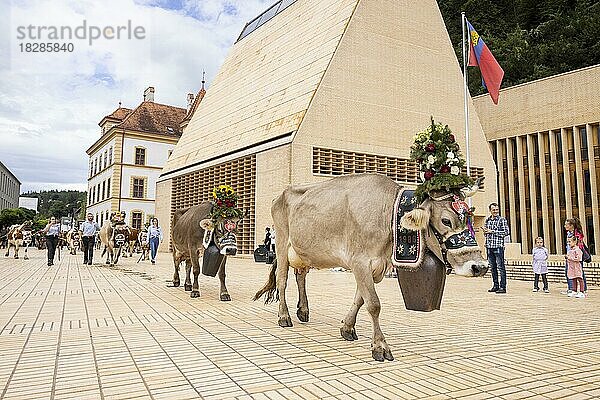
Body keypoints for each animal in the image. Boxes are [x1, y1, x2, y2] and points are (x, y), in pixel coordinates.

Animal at [253, 118, 488, 362]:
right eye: (446, 221)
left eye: (469, 216)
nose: (480, 266)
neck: (387, 215)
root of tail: (281, 193)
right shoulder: (360, 261)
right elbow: (373, 303)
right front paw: (380, 346)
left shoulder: (375, 266)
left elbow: (361, 298)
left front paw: (347, 328)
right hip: (282, 244)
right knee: (282, 280)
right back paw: (284, 316)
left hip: (304, 252)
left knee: (301, 277)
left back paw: (303, 310)